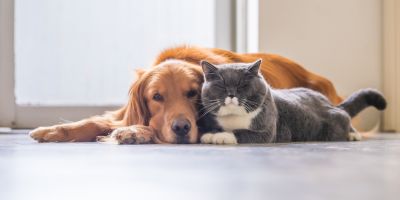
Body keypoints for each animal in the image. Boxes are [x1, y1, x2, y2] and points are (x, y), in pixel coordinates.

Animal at [28, 45, 340, 144]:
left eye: (192, 93)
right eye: (156, 97)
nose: (181, 128)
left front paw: (135, 132)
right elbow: (96, 121)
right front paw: (53, 130)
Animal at [198, 58, 386, 145]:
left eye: (243, 85)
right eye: (222, 86)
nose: (231, 94)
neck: (234, 118)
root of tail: (328, 102)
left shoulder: (267, 131)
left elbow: (241, 133)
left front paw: (218, 137)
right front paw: (211, 133)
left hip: (334, 123)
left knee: (345, 116)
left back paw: (353, 134)